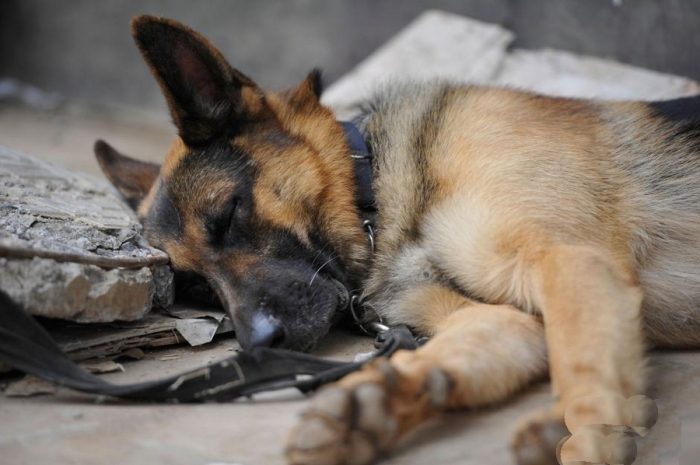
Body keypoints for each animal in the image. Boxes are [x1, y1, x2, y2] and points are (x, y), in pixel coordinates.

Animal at [94, 15, 700, 465]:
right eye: (197, 289)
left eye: (227, 214)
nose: (259, 346)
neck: (378, 190)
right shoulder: (511, 317)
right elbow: (479, 345)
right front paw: (372, 406)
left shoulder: (574, 262)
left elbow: (583, 369)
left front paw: (583, 439)